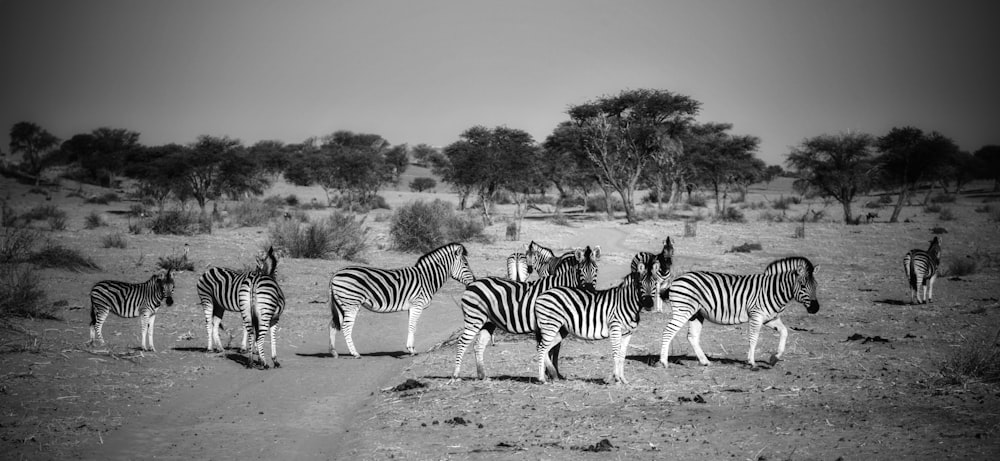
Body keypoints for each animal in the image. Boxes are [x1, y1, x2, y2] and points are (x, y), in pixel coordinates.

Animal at [328, 243, 476, 358]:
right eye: (466, 264)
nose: (474, 281)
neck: (426, 278)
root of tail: (336, 274)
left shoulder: (412, 307)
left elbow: (411, 326)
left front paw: (411, 348)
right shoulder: (417, 305)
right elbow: (413, 326)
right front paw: (411, 350)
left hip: (341, 304)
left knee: (333, 324)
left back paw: (334, 352)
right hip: (351, 303)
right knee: (346, 327)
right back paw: (355, 353)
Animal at [454, 246, 600, 380]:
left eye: (596, 270)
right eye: (580, 271)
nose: (589, 289)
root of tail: (472, 284)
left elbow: (553, 349)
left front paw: (552, 373)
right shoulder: (548, 324)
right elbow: (550, 348)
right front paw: (550, 373)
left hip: (488, 322)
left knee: (478, 345)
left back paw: (482, 375)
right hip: (474, 319)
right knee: (462, 342)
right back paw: (456, 375)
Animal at [536, 253, 660, 382]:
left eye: (655, 284)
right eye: (640, 284)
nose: (649, 304)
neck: (626, 302)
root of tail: (542, 295)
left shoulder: (627, 333)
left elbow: (622, 355)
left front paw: (623, 379)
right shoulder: (615, 329)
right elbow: (616, 353)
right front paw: (616, 379)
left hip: (560, 329)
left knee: (544, 348)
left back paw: (552, 374)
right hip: (550, 326)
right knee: (542, 348)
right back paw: (542, 378)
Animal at [656, 258, 820, 370]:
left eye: (816, 285)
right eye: (803, 285)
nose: (815, 309)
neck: (773, 290)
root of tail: (677, 279)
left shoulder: (770, 318)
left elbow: (785, 332)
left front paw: (774, 358)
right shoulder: (756, 315)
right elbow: (753, 339)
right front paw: (752, 362)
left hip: (696, 314)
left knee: (692, 337)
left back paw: (705, 361)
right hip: (683, 310)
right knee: (668, 331)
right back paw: (664, 362)